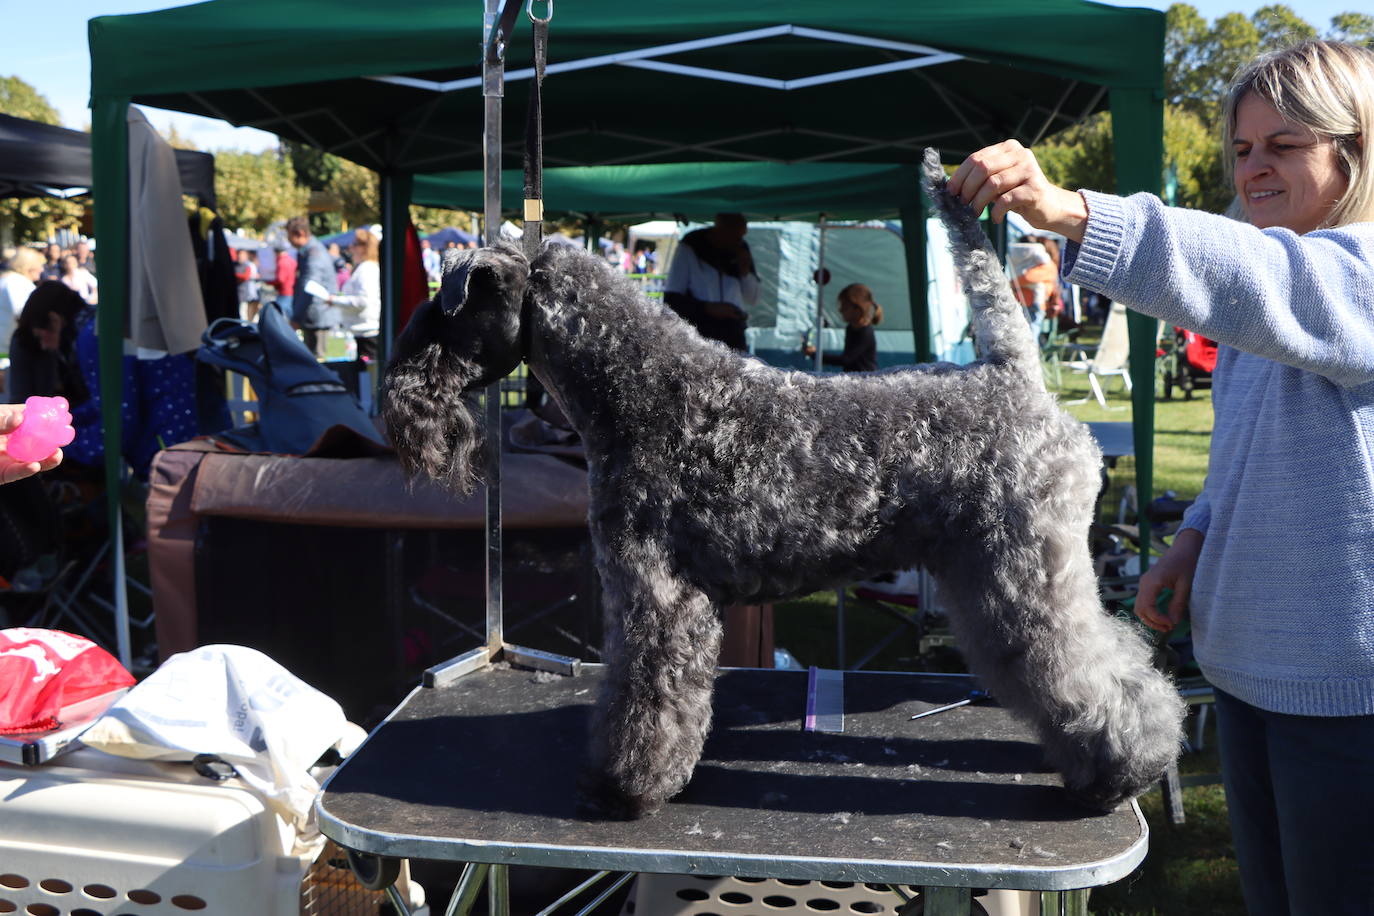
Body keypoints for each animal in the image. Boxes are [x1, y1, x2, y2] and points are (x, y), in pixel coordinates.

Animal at [384, 149, 1181, 818]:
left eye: (443, 310)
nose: (399, 392)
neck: (640, 389)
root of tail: (1013, 375)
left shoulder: (658, 595)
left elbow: (646, 697)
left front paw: (623, 788)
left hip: (1025, 574)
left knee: (1097, 671)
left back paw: (1124, 769)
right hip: (985, 577)